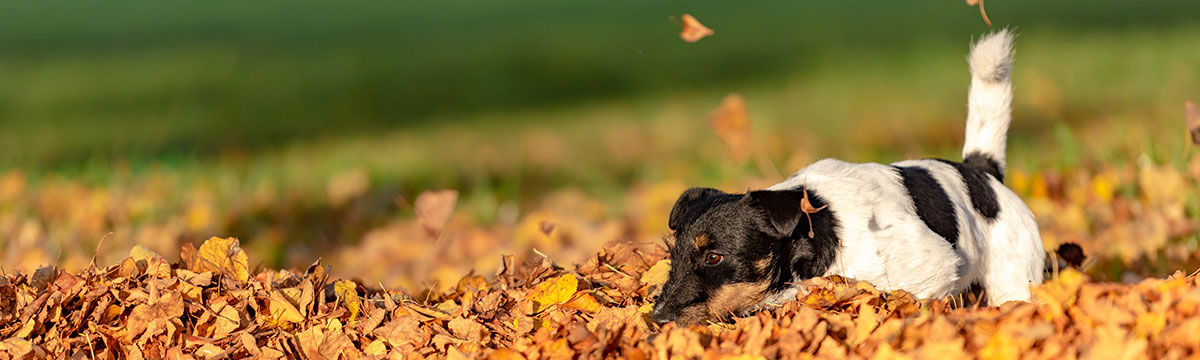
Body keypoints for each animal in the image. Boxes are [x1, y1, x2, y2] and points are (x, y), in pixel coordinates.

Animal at [652, 29, 1046, 324]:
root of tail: (982, 171)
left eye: (713, 257)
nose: (656, 319)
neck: (824, 231)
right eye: (674, 253)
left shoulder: (932, 267)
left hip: (1014, 278)